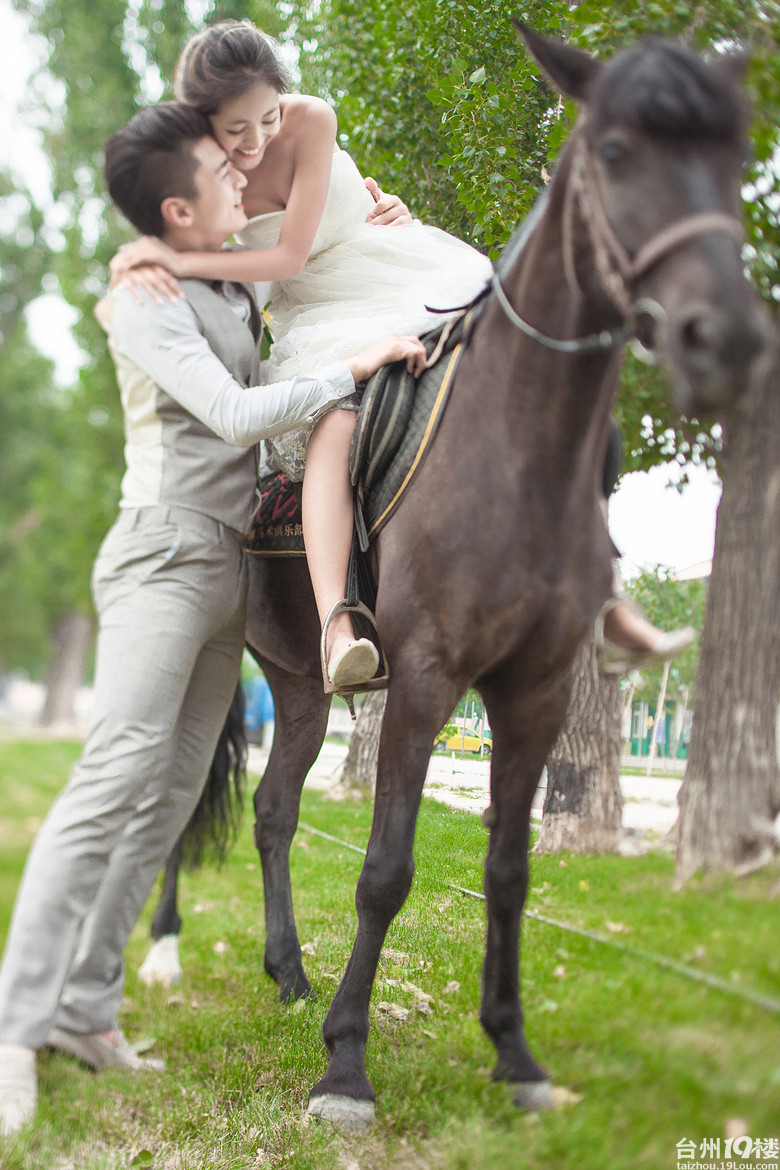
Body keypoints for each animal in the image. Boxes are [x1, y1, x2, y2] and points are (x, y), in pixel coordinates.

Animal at [169, 25, 773, 1124]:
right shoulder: (427, 679)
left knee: (274, 812)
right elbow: (385, 868)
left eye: (739, 154)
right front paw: (346, 1068)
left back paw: (288, 973)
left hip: (295, 686)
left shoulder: (535, 694)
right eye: (616, 150)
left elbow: (509, 869)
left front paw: (516, 1053)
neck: (520, 444)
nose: (729, 339)